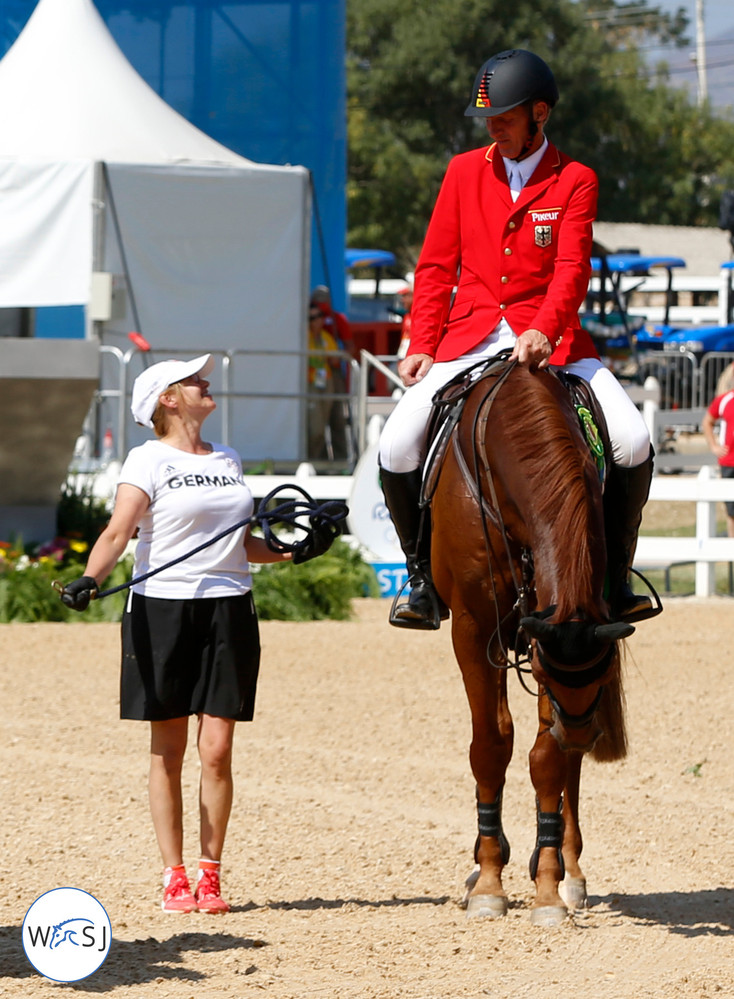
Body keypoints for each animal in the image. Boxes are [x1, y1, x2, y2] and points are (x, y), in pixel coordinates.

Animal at [432, 360, 632, 928]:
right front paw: (489, 883)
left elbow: (548, 759)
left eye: (603, 673)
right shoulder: (474, 627)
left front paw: (547, 887)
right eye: (540, 672)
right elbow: (490, 745)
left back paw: (570, 872)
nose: (581, 733)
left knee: (567, 765)